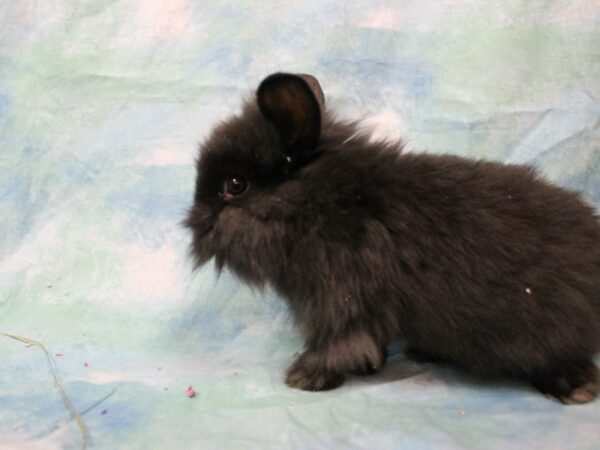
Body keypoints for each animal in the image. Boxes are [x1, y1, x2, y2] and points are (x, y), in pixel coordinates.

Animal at [184, 72, 600, 402]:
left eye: (235, 185)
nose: (193, 220)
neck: (320, 202)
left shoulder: (340, 301)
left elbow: (339, 345)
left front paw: (303, 377)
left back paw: (575, 389)